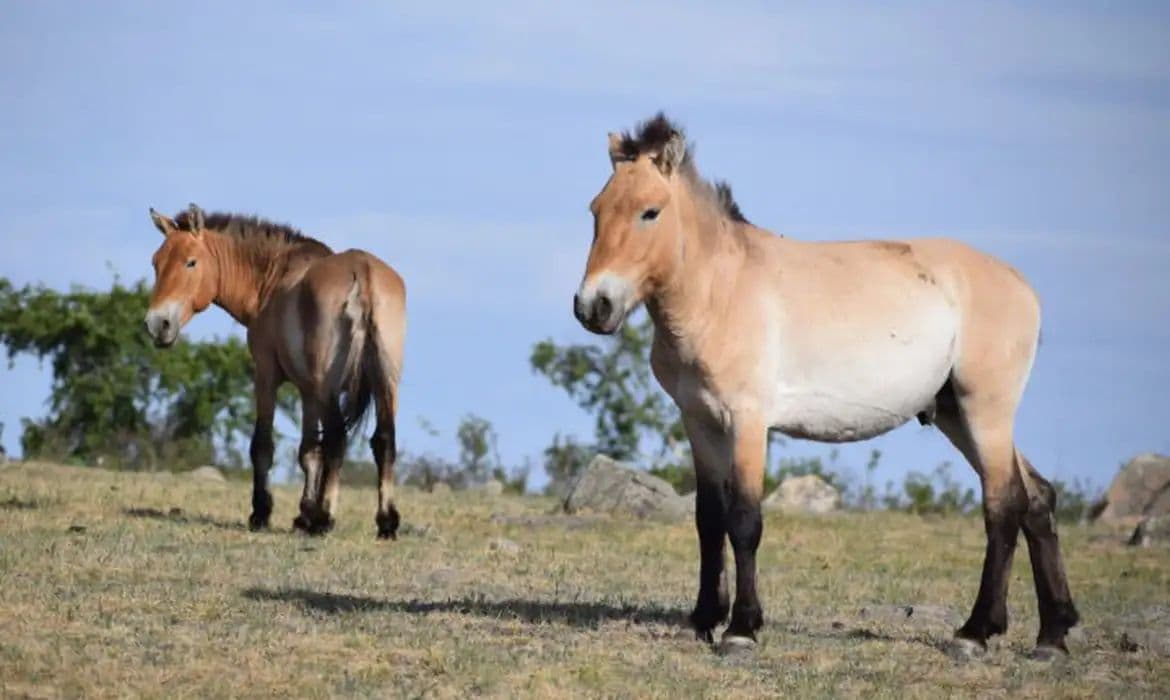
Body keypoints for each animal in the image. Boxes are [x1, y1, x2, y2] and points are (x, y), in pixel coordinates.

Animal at [143, 204, 406, 539]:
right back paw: (385, 522)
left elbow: (264, 446)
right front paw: (304, 514)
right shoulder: (308, 393)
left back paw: (326, 518)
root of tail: (364, 274)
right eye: (156, 262)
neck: (273, 276)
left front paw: (263, 513)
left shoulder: (267, 376)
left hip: (329, 387)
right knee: (383, 441)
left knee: (337, 438)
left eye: (191, 262)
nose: (157, 324)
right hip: (386, 386)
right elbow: (309, 451)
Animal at [572, 114, 1079, 659]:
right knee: (1038, 498)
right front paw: (704, 620)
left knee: (1003, 506)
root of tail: (1022, 287)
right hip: (953, 415)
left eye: (650, 212)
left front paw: (741, 629)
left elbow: (744, 520)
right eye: (596, 209)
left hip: (985, 410)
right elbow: (709, 519)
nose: (594, 306)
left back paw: (975, 632)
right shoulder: (699, 420)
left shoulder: (748, 420)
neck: (720, 292)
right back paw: (1052, 634)